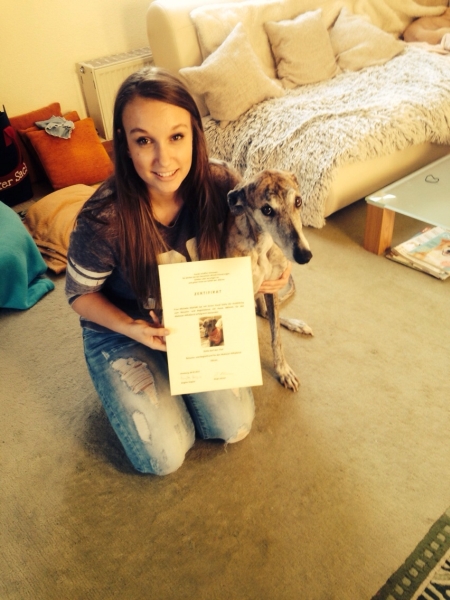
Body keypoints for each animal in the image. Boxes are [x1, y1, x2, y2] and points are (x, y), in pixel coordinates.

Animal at [224, 169, 312, 391]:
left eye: (298, 201)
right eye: (267, 209)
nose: (305, 256)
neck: (264, 246)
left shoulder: (272, 286)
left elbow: (276, 337)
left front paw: (283, 370)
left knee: (265, 313)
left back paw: (296, 324)